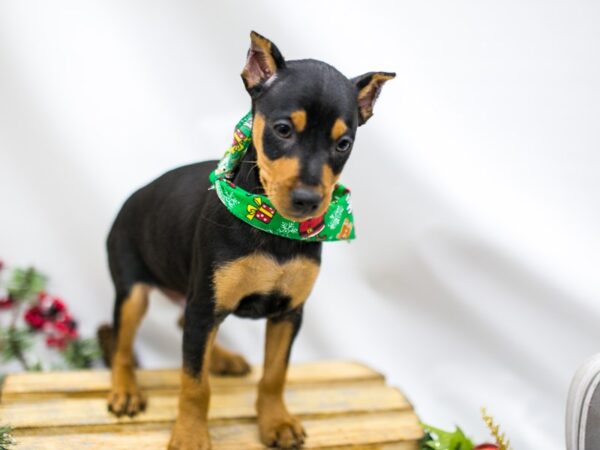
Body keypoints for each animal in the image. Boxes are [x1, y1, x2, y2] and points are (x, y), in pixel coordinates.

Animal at [106, 31, 396, 450]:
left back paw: (223, 358)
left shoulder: (288, 313)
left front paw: (276, 422)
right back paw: (125, 389)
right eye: (283, 129)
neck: (274, 228)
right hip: (134, 288)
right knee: (123, 344)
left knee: (180, 322)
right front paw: (190, 435)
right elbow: (194, 383)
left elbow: (274, 375)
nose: (308, 201)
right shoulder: (206, 305)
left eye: (343, 144)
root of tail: (133, 197)